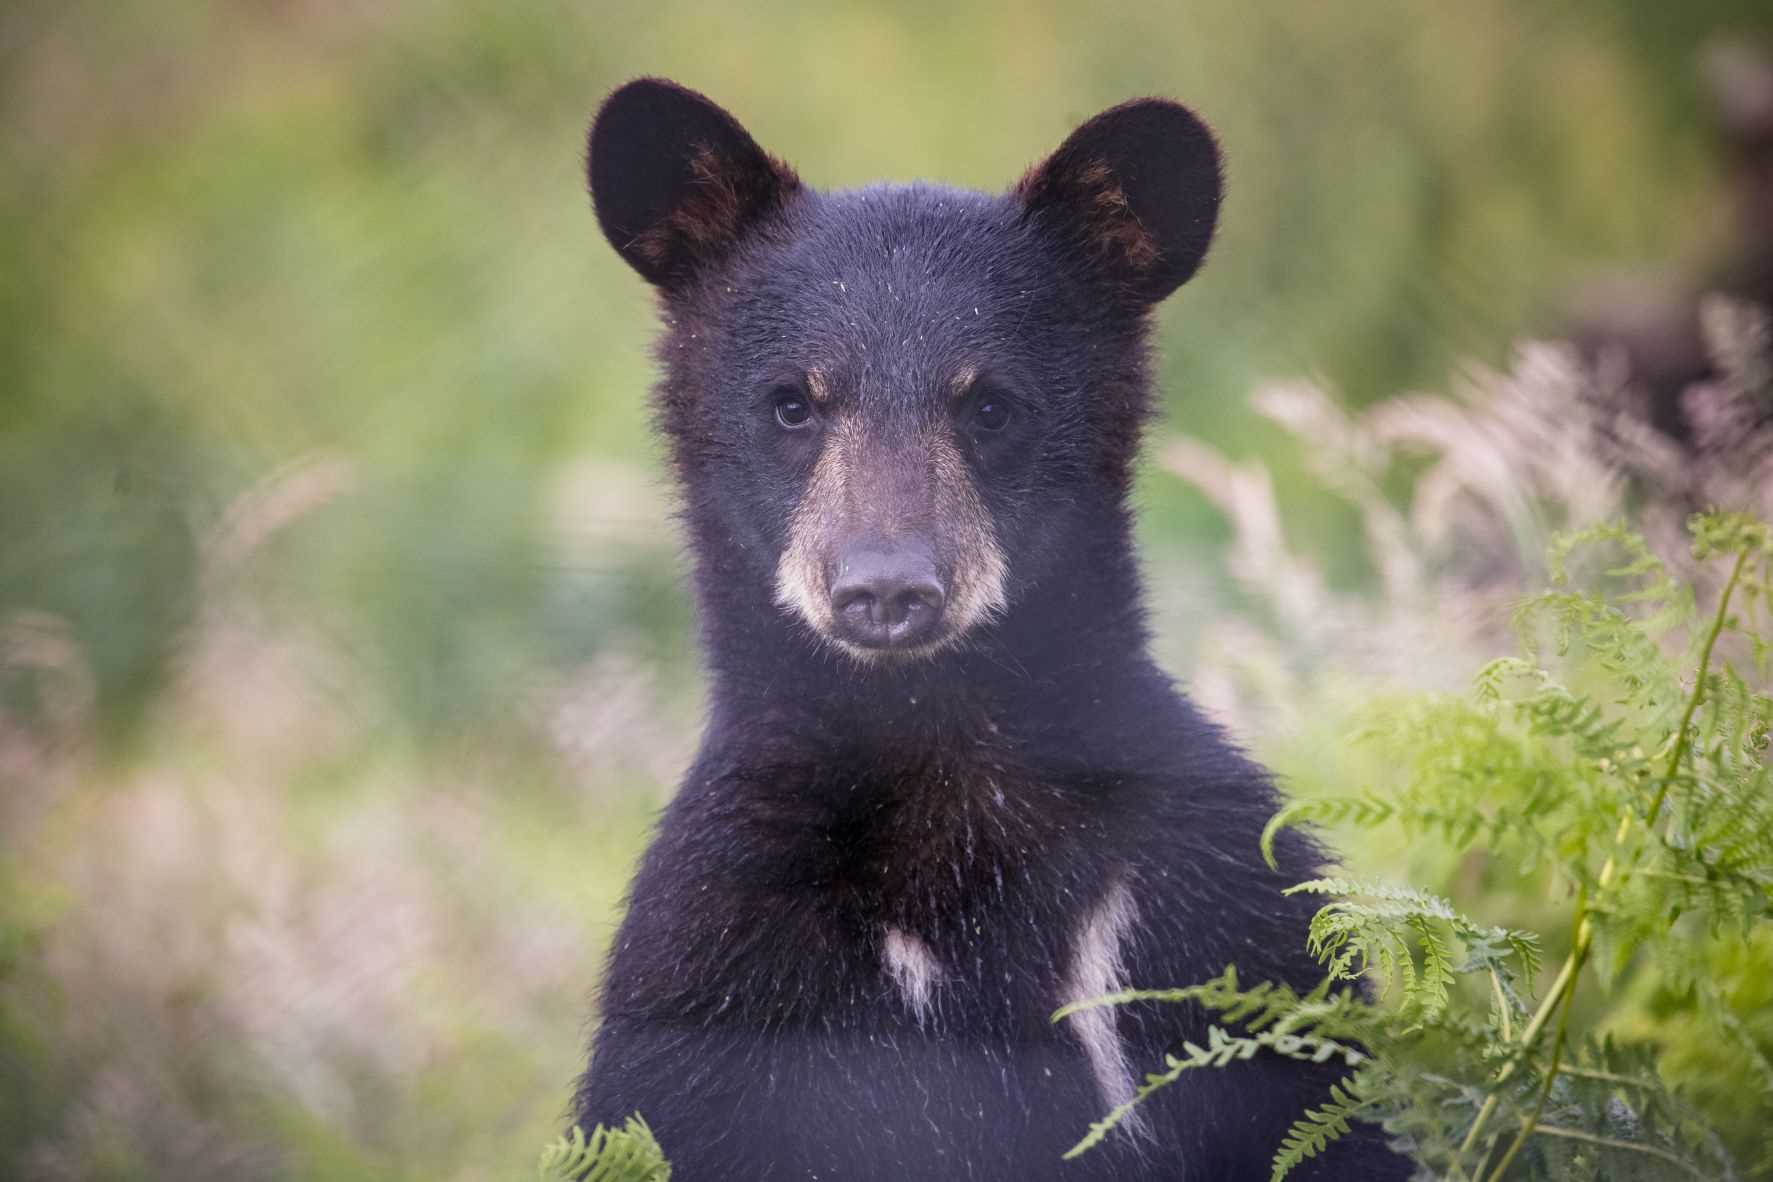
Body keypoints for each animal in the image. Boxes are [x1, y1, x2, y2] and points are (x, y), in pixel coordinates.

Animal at [573, 77, 1410, 1181]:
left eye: (990, 406)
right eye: (792, 403)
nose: (888, 589)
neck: (938, 762)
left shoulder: (1216, 911)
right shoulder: (710, 970)